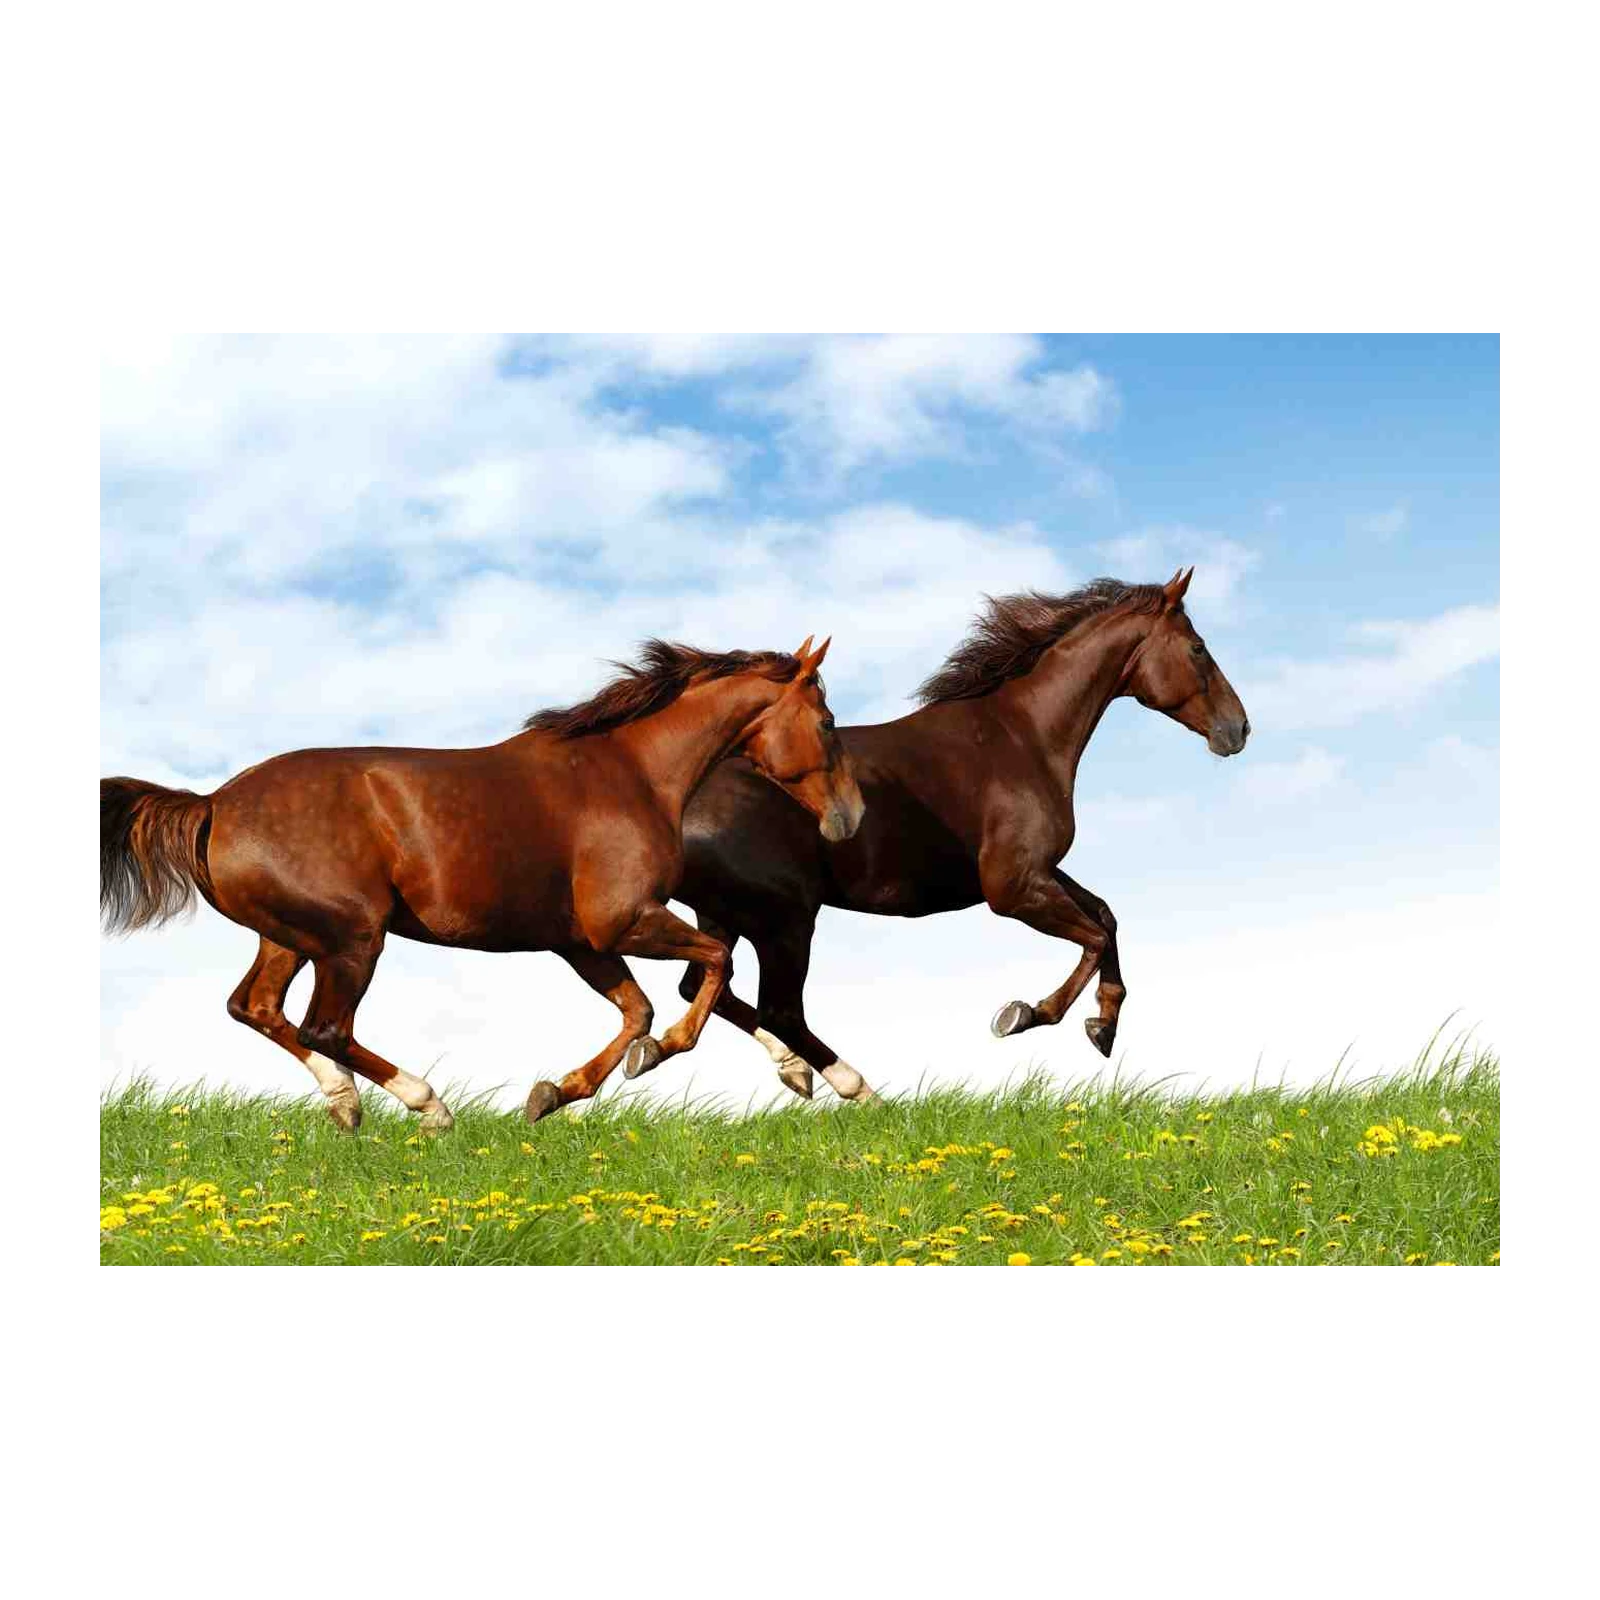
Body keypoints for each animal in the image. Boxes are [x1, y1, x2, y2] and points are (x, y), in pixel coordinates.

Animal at [96, 635, 863, 1131]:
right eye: (827, 722)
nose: (850, 818)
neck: (631, 773)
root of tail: (212, 803)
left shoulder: (581, 942)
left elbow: (638, 1010)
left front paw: (556, 1092)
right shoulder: (623, 921)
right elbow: (712, 966)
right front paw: (660, 1058)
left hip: (290, 935)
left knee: (255, 1008)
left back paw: (345, 1103)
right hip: (351, 939)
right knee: (324, 1026)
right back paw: (426, 1105)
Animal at [647, 569, 1249, 1102]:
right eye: (1198, 648)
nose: (1238, 729)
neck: (1023, 735)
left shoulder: (1035, 873)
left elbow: (1106, 916)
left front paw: (1103, 1026)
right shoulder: (1012, 889)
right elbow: (1095, 936)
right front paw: (1024, 1015)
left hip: (727, 915)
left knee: (705, 985)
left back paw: (781, 1069)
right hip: (786, 920)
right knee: (776, 1009)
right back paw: (856, 1087)